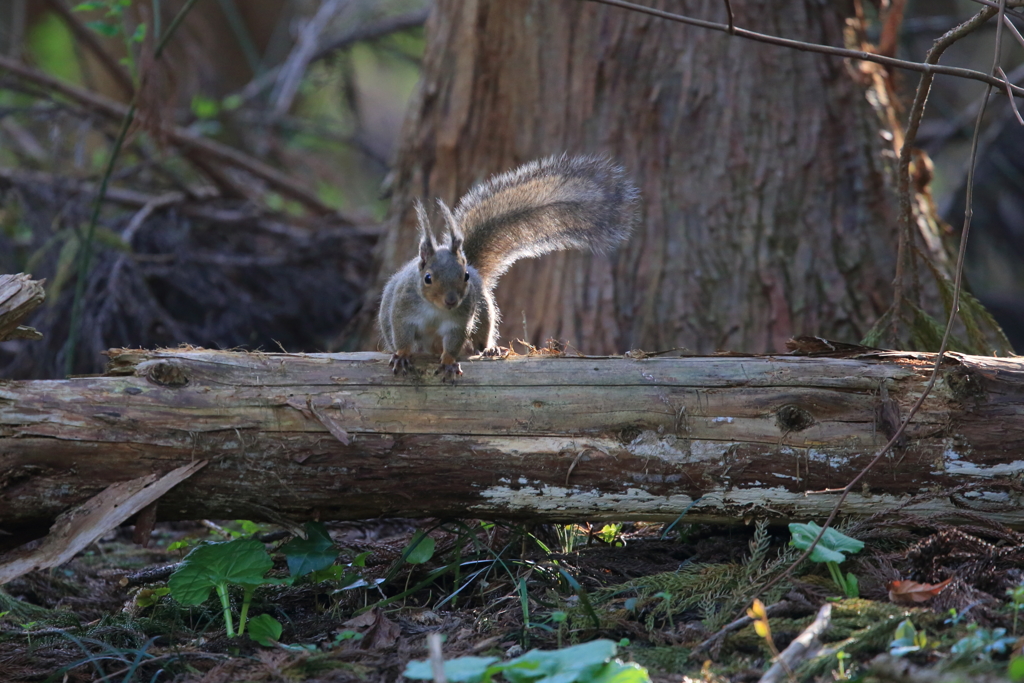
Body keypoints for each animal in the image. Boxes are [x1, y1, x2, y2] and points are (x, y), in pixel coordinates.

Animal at [380, 152, 634, 382]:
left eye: (465, 276)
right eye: (428, 278)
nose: (451, 301)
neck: (436, 309)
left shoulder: (460, 320)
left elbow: (453, 343)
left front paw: (450, 362)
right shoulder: (403, 310)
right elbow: (402, 335)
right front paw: (402, 355)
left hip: (484, 312)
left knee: (480, 336)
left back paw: (488, 349)